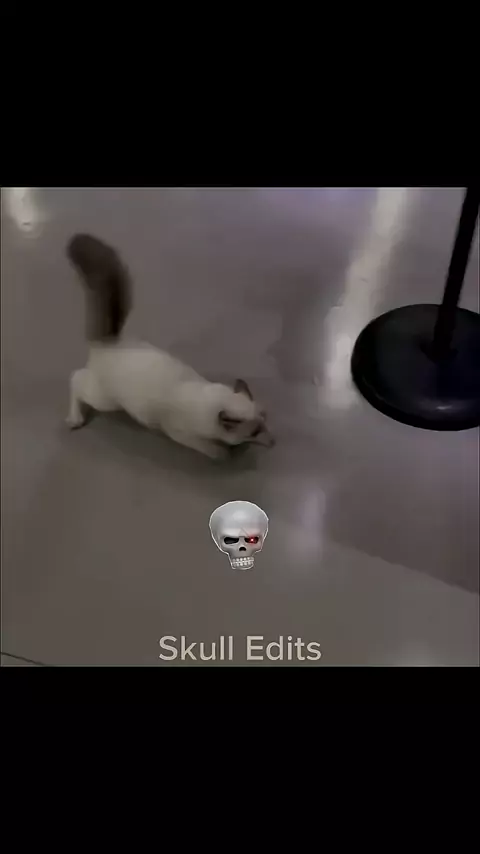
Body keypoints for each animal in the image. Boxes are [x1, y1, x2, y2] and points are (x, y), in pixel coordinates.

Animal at [66, 234, 274, 460]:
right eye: (255, 432)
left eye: (265, 420)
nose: (273, 442)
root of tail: (111, 340)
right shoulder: (181, 434)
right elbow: (215, 451)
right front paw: (227, 452)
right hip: (105, 401)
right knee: (76, 378)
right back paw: (74, 420)